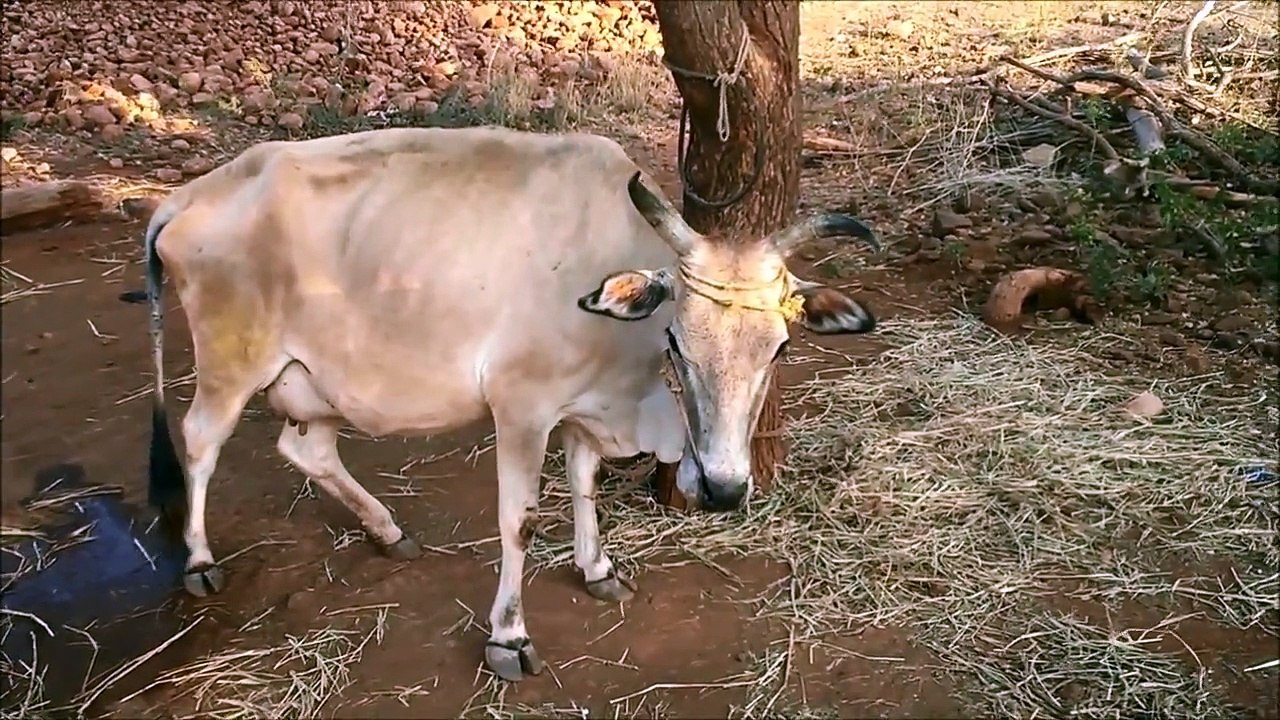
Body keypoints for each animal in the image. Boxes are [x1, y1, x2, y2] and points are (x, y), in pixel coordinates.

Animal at [140, 125, 879, 681]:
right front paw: (510, 636)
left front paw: (597, 568)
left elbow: (585, 484)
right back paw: (200, 561)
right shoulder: (522, 408)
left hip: (314, 379)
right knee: (200, 442)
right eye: (676, 339)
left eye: (779, 347)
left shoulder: (583, 409)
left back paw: (387, 531)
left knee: (306, 447)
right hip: (232, 361)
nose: (725, 489)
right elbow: (519, 521)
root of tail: (192, 194)